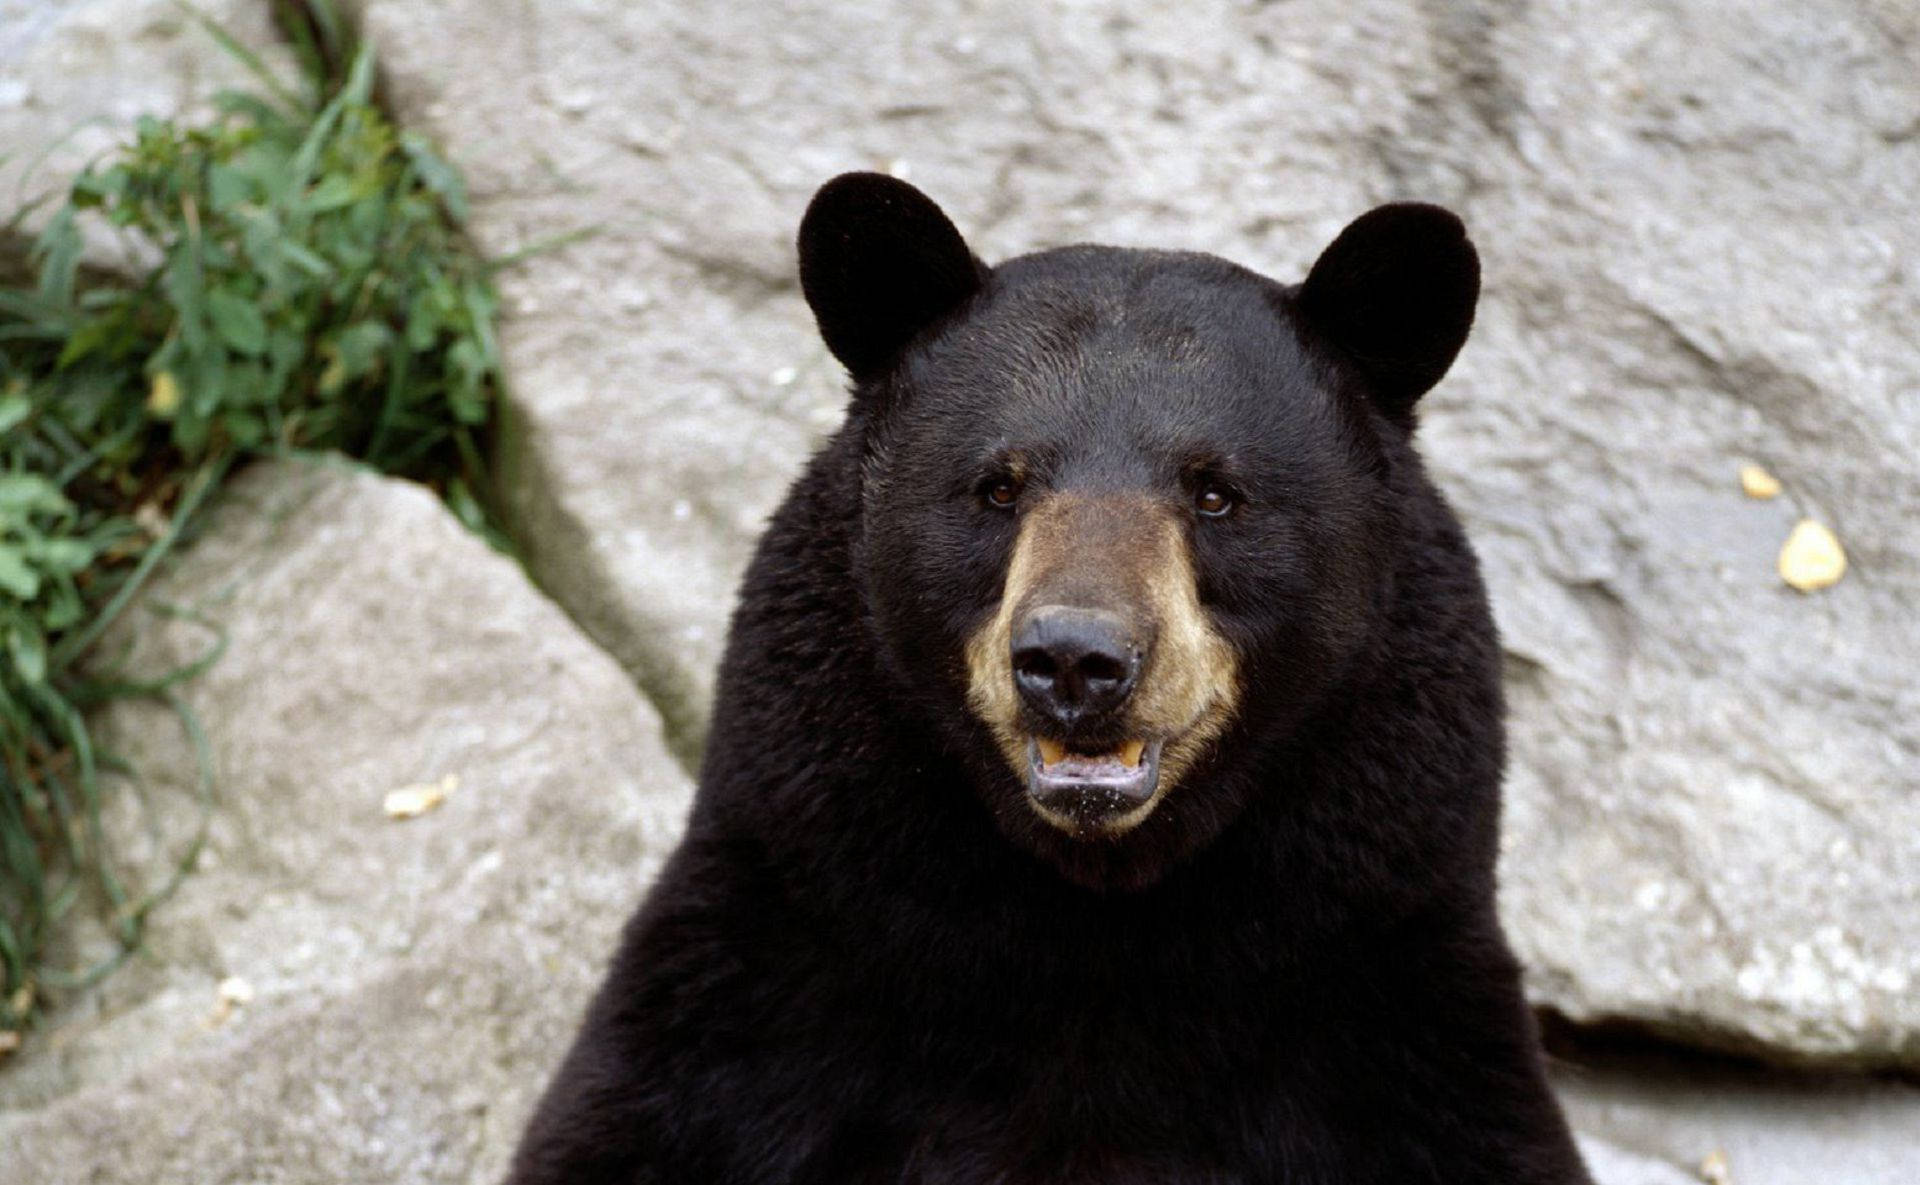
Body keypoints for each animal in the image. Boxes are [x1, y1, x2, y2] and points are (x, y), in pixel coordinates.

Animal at [505, 173, 1593, 1185]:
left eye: (1215, 492)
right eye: (998, 485)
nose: (1075, 660)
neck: (1091, 923)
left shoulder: (1388, 995)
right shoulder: (773, 958)